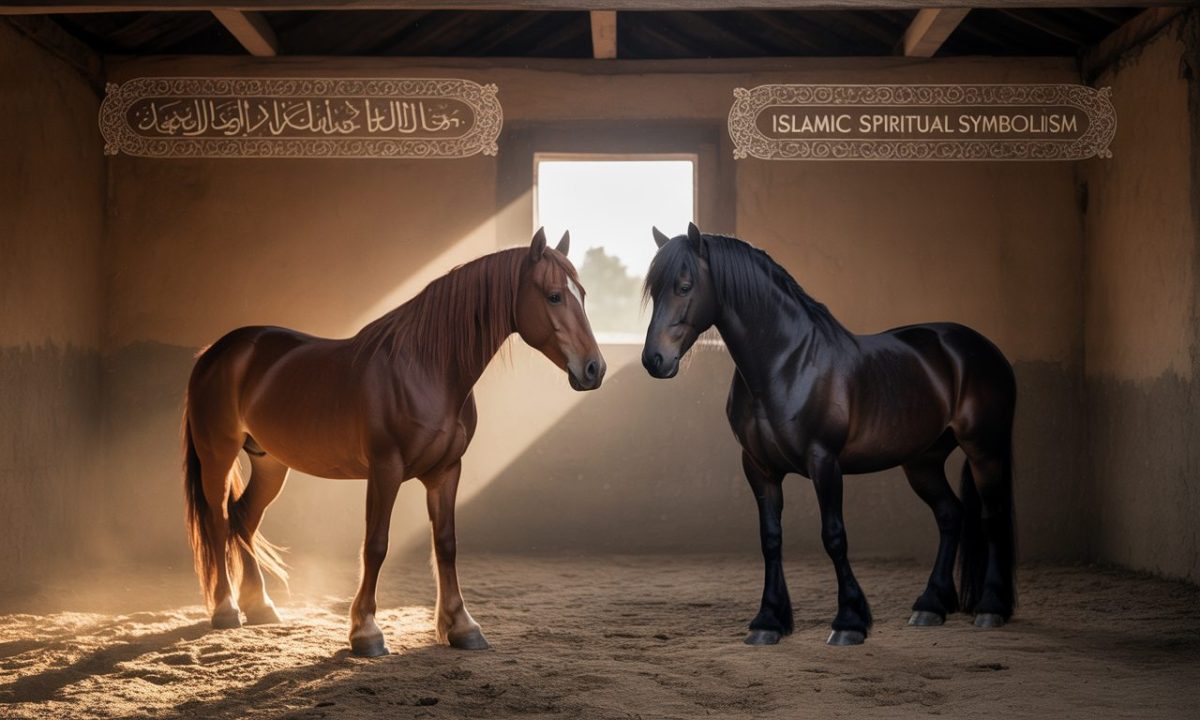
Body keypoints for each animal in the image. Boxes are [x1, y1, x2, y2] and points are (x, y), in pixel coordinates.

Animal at [183, 229, 605, 656]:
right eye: (554, 296)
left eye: (583, 294)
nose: (594, 369)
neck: (425, 370)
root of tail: (217, 352)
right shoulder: (385, 469)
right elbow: (377, 544)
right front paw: (365, 631)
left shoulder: (446, 471)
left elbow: (446, 543)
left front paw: (462, 626)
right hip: (218, 456)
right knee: (219, 520)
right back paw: (226, 609)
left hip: (270, 462)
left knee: (243, 517)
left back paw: (261, 606)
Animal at [641, 223, 1016, 647]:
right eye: (654, 290)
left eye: (685, 286)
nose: (654, 360)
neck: (786, 364)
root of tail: (981, 347)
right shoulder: (758, 468)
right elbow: (770, 538)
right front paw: (768, 621)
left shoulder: (824, 462)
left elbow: (834, 536)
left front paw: (849, 621)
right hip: (923, 460)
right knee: (951, 514)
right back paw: (930, 605)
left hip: (984, 450)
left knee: (991, 516)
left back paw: (990, 608)